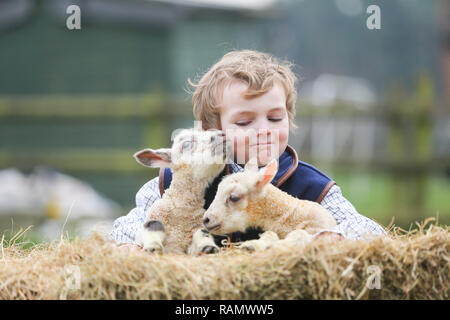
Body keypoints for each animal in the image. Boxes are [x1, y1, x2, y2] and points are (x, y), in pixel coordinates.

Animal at [134, 127, 230, 255]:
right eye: (186, 144)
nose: (222, 134)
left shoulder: (196, 229)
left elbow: (203, 233)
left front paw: (208, 248)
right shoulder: (154, 218)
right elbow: (154, 225)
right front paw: (152, 247)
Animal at [202, 159, 336, 251]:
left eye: (233, 198)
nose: (206, 219)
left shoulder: (318, 226)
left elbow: (299, 234)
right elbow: (269, 234)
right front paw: (253, 245)